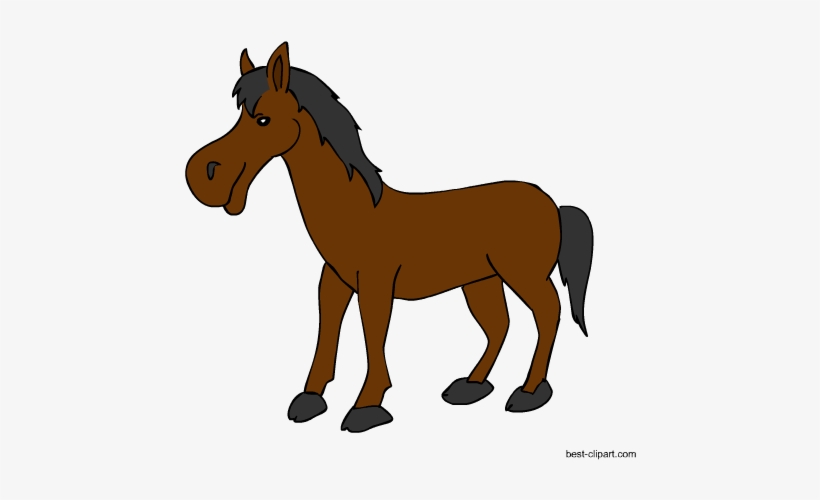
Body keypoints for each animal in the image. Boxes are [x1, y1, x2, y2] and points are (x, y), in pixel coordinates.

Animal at [185, 42, 594, 433]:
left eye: (262, 119)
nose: (203, 174)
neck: (355, 214)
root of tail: (553, 203)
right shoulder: (334, 280)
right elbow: (328, 328)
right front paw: (311, 398)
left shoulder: (376, 283)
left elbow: (372, 334)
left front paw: (367, 406)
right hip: (482, 280)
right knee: (499, 327)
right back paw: (471, 386)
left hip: (522, 276)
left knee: (548, 313)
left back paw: (530, 392)